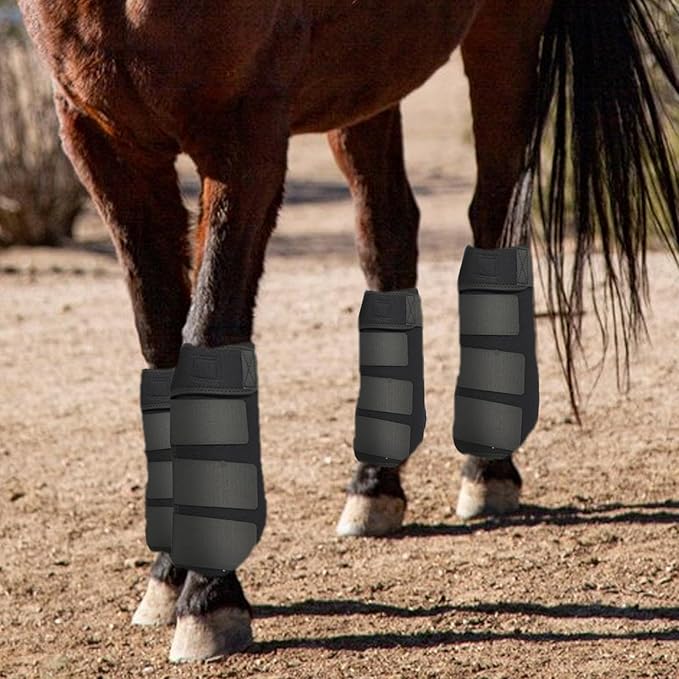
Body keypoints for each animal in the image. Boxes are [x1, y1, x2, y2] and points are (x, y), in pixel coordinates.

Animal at [17, 0, 678, 663]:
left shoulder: (244, 138)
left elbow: (207, 332)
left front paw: (210, 596)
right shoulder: (101, 140)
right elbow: (160, 341)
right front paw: (169, 573)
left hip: (505, 38)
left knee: (494, 216)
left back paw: (487, 470)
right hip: (367, 84)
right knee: (389, 232)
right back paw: (373, 486)